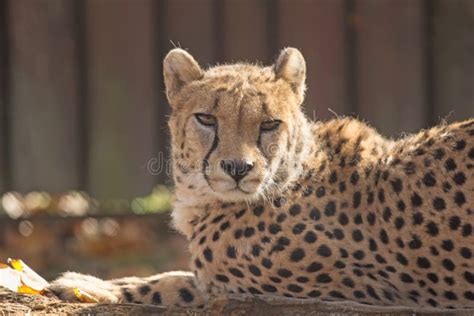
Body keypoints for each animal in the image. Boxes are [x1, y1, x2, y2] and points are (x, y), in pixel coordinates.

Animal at [49, 47, 474, 308]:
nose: (238, 168)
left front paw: (85, 284)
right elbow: (177, 274)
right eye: (207, 119)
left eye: (269, 124)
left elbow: (176, 284)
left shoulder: (346, 292)